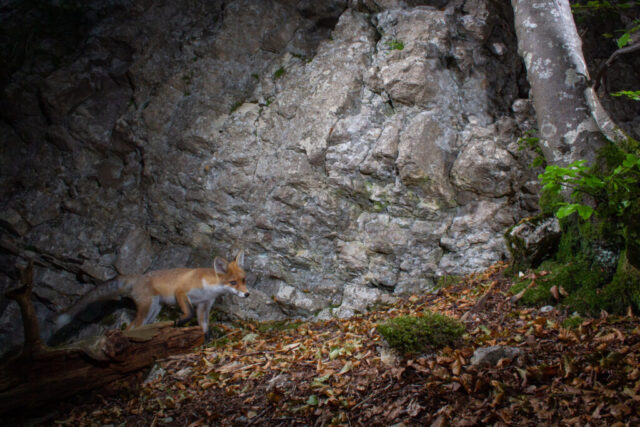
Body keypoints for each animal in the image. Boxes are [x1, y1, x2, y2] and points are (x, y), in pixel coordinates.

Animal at [54, 252, 249, 336]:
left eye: (244, 280)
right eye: (233, 283)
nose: (247, 295)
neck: (208, 288)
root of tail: (136, 277)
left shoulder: (204, 305)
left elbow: (204, 326)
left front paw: (206, 341)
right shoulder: (181, 292)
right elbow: (189, 313)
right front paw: (180, 322)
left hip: (153, 311)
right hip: (147, 309)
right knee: (130, 328)